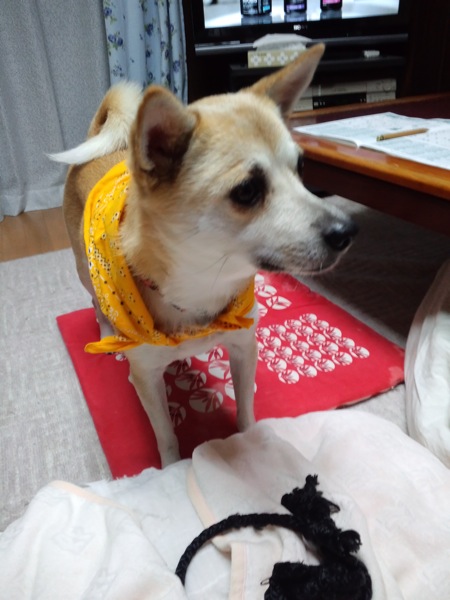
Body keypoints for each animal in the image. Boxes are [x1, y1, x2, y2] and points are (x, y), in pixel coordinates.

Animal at [51, 44, 357, 467]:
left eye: (301, 168)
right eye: (247, 191)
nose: (347, 231)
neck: (202, 287)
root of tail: (100, 139)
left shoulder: (245, 348)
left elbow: (246, 408)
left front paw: (249, 439)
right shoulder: (146, 377)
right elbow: (165, 435)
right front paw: (172, 471)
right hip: (85, 269)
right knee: (95, 302)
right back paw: (106, 333)